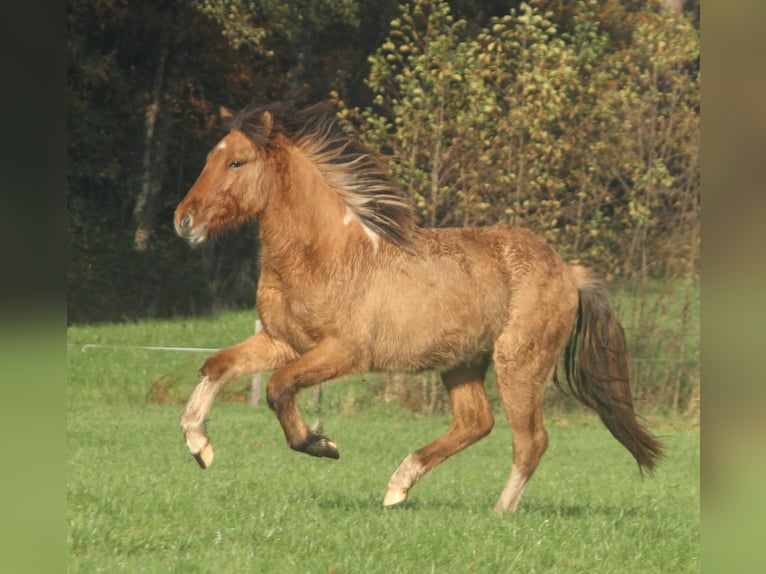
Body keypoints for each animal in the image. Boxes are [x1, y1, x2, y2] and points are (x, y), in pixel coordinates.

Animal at [174, 102, 664, 512]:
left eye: (236, 162)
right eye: (210, 158)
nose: (184, 220)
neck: (326, 254)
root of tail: (569, 270)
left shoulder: (343, 353)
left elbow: (277, 388)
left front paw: (320, 444)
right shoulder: (283, 342)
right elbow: (217, 366)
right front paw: (199, 445)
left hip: (519, 363)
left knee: (530, 441)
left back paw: (498, 513)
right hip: (463, 362)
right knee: (475, 422)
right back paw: (398, 487)